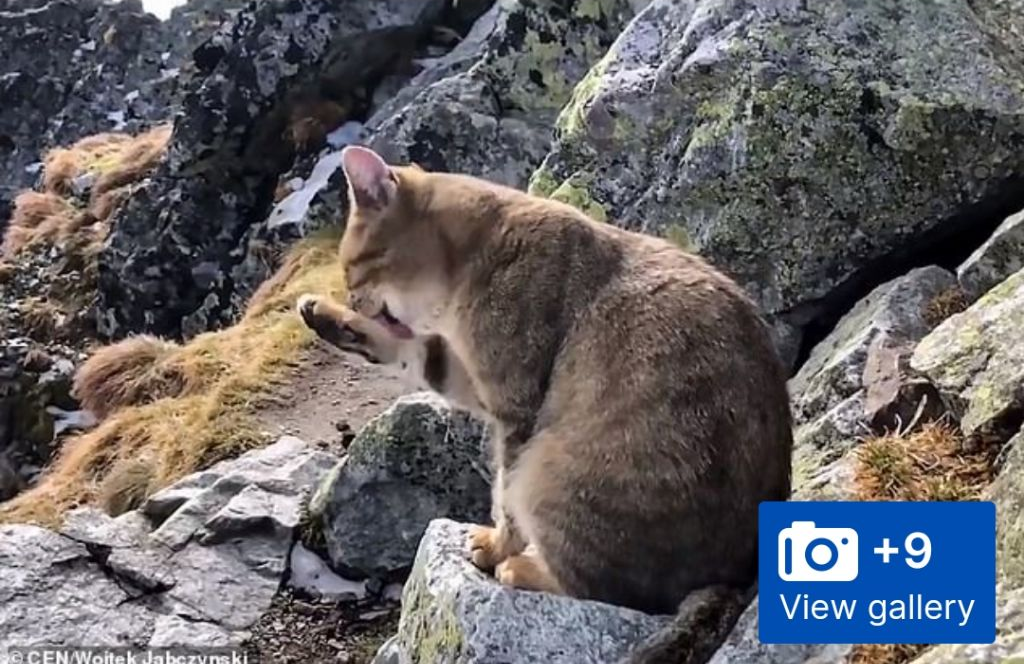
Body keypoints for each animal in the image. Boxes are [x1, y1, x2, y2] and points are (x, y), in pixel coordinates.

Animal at [296, 146, 790, 618]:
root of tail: (736, 578)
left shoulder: (514, 407)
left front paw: (496, 546)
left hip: (549, 474)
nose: (351, 298)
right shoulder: (471, 378)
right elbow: (414, 352)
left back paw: (523, 568)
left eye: (351, 267)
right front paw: (323, 316)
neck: (479, 253)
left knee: (606, 589)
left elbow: (503, 498)